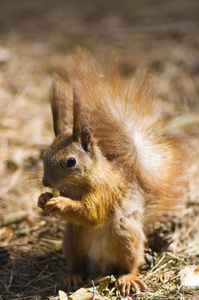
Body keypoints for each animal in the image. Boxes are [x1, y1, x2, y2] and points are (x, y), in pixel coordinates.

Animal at [38, 50, 186, 296]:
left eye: (70, 162)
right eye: (45, 154)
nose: (46, 182)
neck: (80, 184)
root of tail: (101, 266)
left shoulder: (106, 191)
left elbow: (92, 214)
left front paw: (58, 203)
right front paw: (42, 199)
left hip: (125, 234)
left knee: (131, 264)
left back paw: (127, 278)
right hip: (72, 237)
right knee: (78, 263)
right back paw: (72, 275)